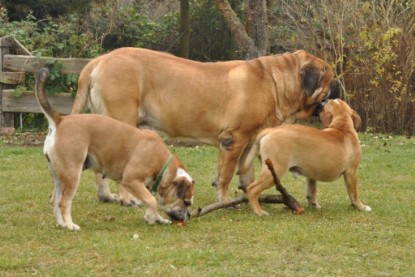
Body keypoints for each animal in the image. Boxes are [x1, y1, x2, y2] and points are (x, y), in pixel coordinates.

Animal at [35, 68, 195, 229]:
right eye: (186, 202)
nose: (188, 216)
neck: (162, 162)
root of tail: (59, 121)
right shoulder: (131, 180)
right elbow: (152, 200)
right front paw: (151, 217)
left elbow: (151, 201)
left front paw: (158, 218)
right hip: (72, 173)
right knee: (64, 202)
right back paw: (69, 225)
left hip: (58, 175)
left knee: (55, 200)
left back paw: (61, 224)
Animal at [239, 98, 372, 215]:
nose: (323, 100)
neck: (342, 126)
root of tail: (270, 131)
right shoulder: (351, 172)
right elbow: (353, 193)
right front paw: (360, 206)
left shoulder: (311, 174)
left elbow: (312, 191)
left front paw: (314, 205)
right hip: (274, 171)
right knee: (252, 189)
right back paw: (259, 212)